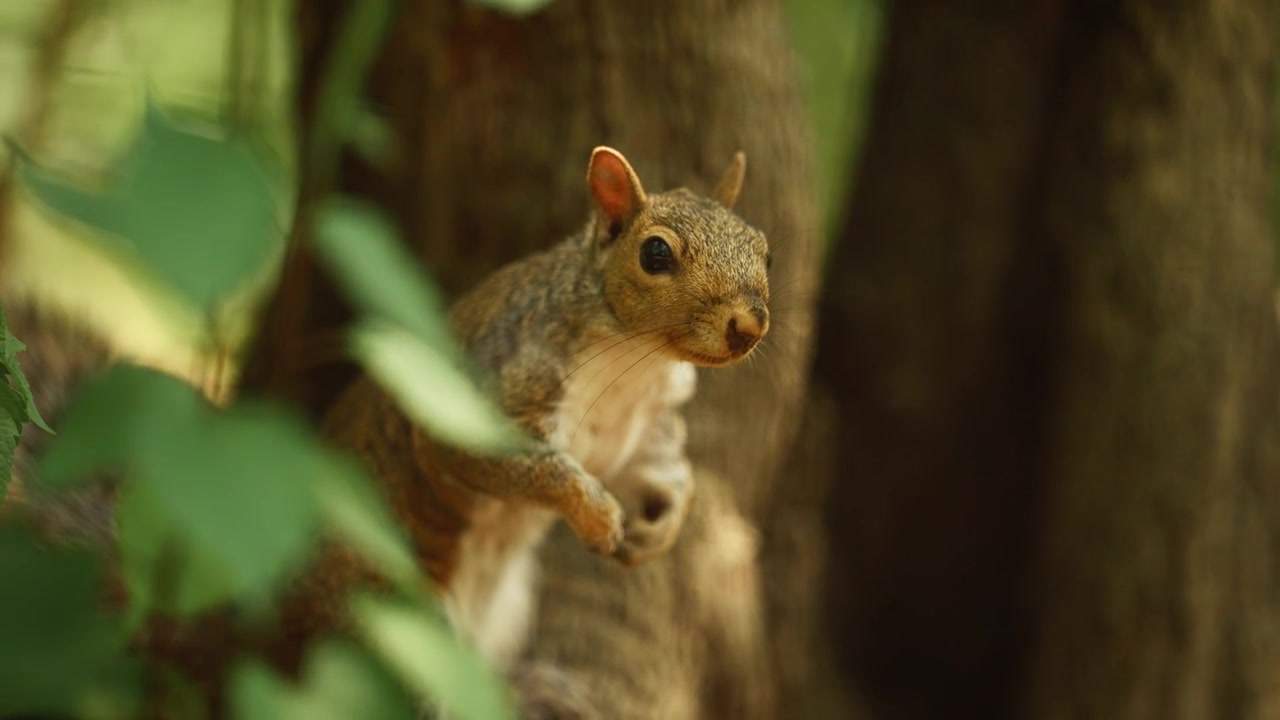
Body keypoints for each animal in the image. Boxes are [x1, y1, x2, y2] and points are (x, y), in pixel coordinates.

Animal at [321, 145, 773, 669]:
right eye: (655, 253)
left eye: (766, 250)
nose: (749, 326)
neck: (636, 362)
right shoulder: (482, 393)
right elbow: (523, 464)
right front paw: (598, 516)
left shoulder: (648, 422)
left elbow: (664, 470)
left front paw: (660, 529)